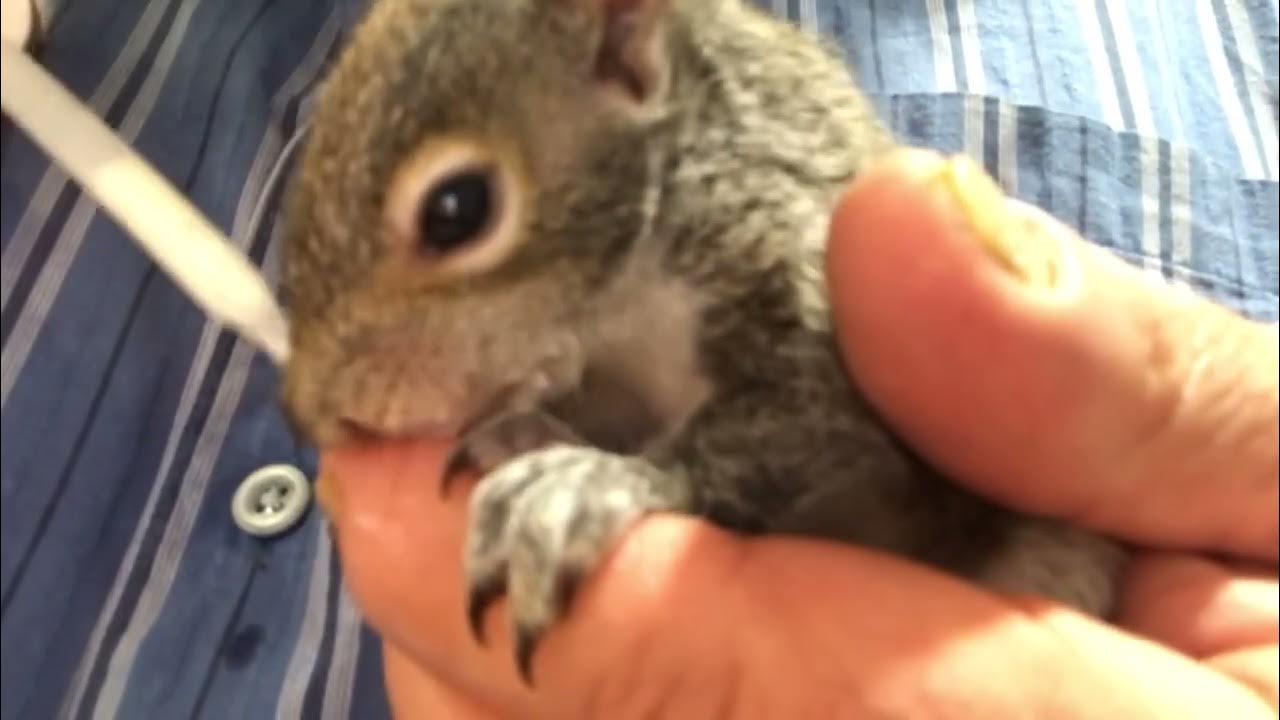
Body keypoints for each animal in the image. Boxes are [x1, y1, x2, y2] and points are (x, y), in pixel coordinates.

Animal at [280, 0, 1127, 684]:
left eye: (457, 209)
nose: (320, 415)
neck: (618, 314)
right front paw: (528, 433)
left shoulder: (805, 273)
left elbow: (797, 424)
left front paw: (593, 481)